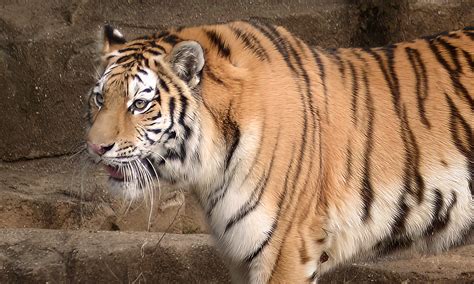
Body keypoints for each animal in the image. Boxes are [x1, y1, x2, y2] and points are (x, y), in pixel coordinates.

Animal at [86, 20, 474, 284]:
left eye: (139, 104)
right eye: (100, 98)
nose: (95, 147)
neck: (209, 170)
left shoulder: (286, 248)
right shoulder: (241, 255)